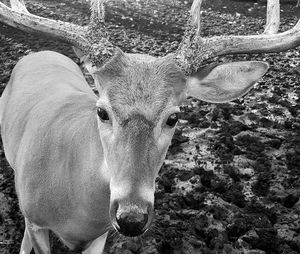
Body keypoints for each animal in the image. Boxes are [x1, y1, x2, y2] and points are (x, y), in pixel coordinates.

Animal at [0, 0, 298, 253]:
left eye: (173, 118)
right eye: (101, 111)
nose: (132, 217)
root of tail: (42, 51)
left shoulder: (101, 234)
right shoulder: (37, 221)